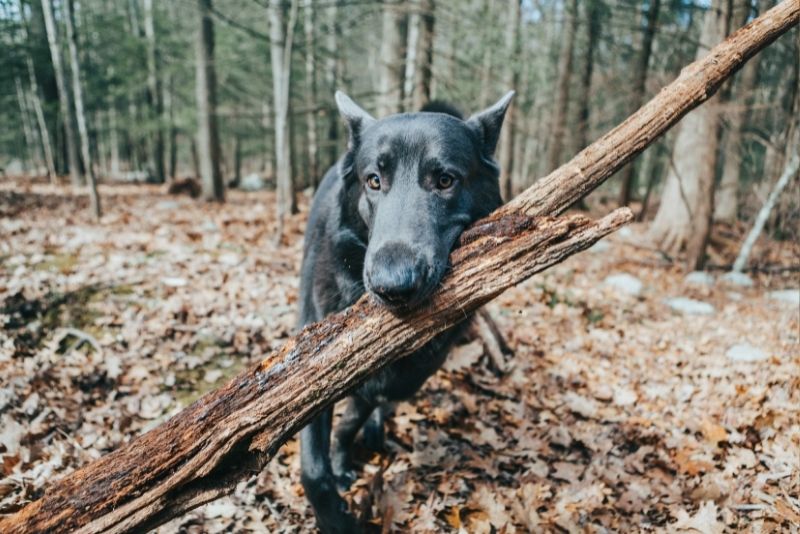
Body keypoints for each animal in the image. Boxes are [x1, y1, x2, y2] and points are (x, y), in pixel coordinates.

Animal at [298, 90, 512, 532]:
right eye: (373, 181)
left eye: (445, 180)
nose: (392, 287)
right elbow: (313, 469)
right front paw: (337, 518)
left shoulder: (395, 380)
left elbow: (351, 420)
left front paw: (345, 458)